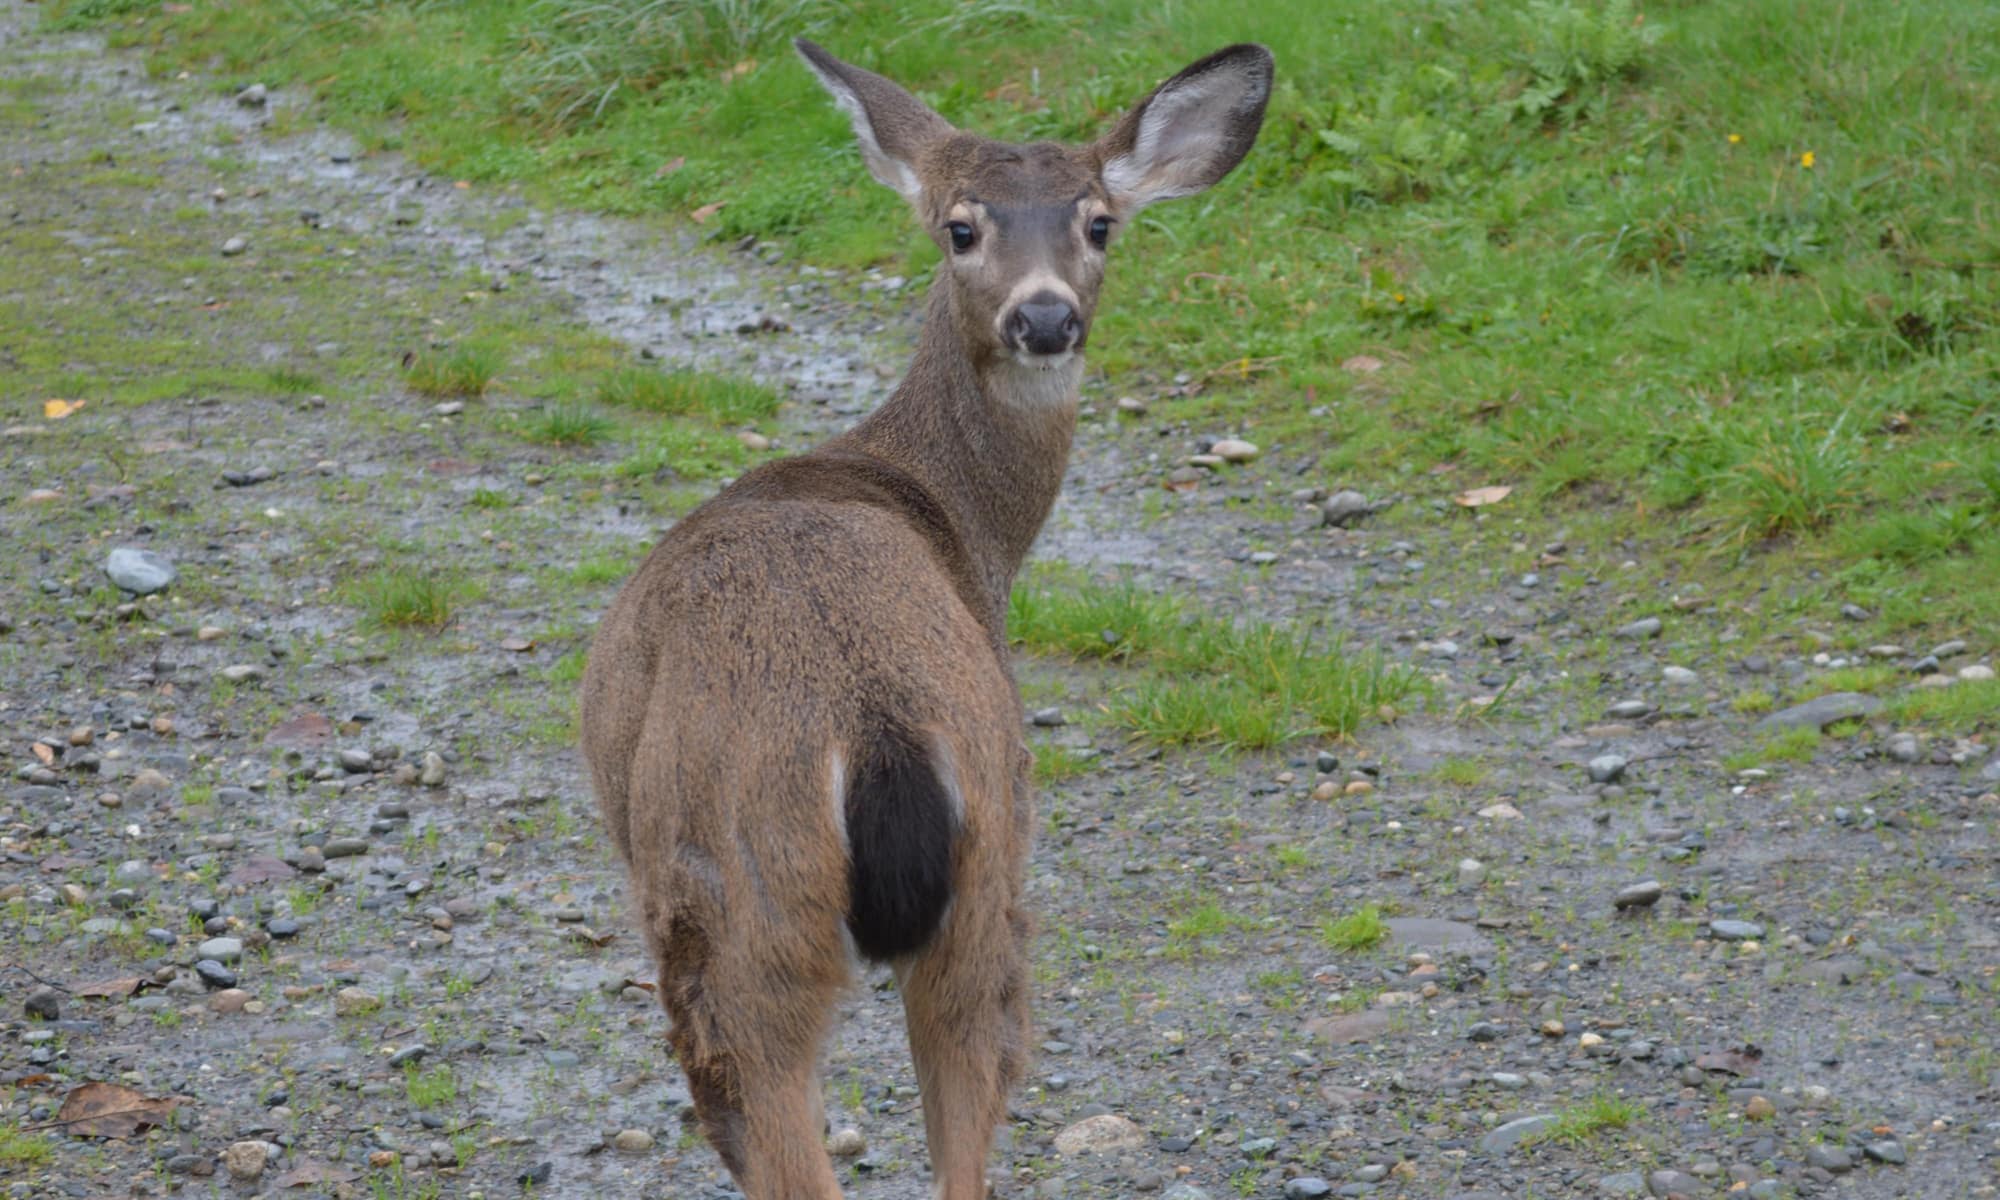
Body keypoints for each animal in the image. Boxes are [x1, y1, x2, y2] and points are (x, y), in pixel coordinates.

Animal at [584, 37, 1264, 1200]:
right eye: (960, 225)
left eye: (1098, 222)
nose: (1045, 317)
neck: (947, 511)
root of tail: (877, 729)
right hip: (991, 877)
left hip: (726, 904)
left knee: (765, 1120)